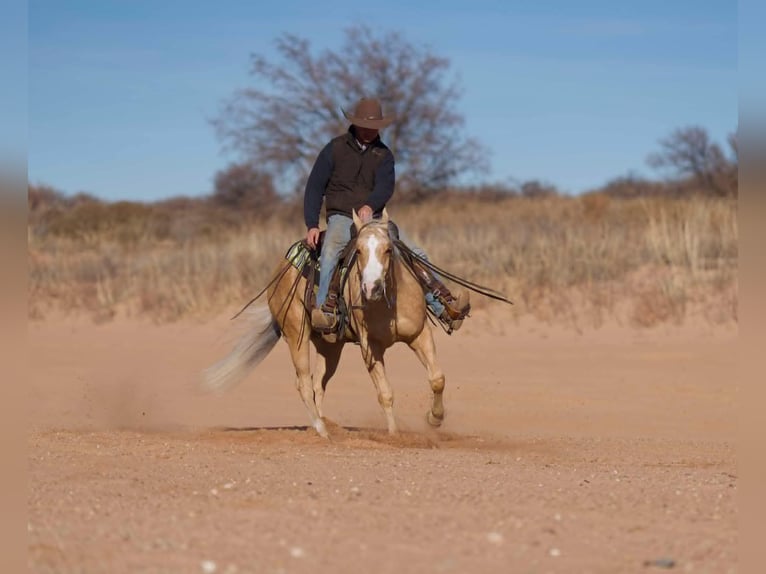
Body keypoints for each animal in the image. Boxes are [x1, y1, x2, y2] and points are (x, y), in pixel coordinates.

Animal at [204, 209, 448, 438]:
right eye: (359, 251)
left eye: (388, 249)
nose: (372, 288)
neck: (387, 304)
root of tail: (282, 268)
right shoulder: (370, 346)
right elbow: (385, 393)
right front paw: (395, 435)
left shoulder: (420, 334)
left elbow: (437, 379)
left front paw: (434, 418)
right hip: (296, 334)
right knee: (303, 383)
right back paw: (322, 431)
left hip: (329, 347)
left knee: (317, 385)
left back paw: (323, 424)